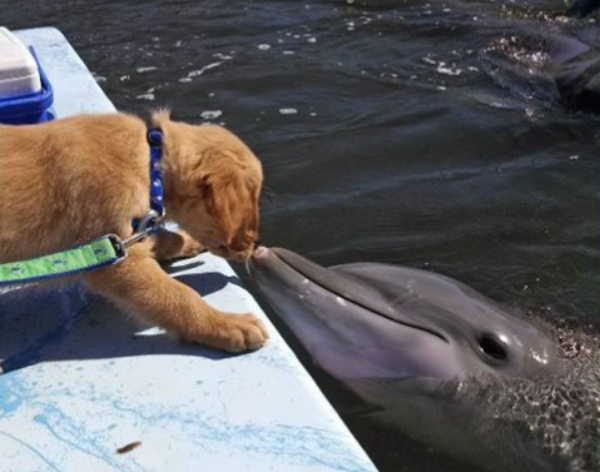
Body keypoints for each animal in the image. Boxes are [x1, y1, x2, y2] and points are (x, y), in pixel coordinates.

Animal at [0, 111, 268, 352]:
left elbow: (160, 236)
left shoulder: (127, 235)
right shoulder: (114, 259)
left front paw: (187, 241)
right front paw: (228, 324)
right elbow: (179, 296)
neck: (151, 162)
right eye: (249, 206)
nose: (255, 248)